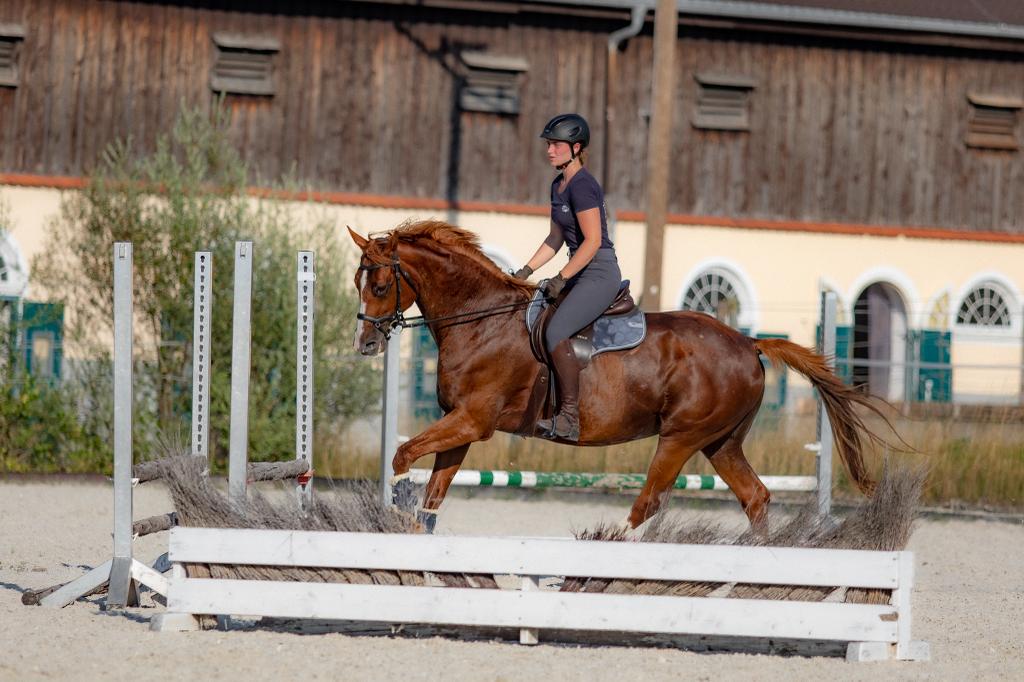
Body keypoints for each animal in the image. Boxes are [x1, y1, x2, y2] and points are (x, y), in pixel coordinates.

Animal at [350, 220, 897, 528]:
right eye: (358, 281)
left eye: (378, 284)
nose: (366, 344)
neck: (479, 319)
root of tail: (748, 343)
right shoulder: (460, 425)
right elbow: (431, 498)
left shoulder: (473, 421)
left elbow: (402, 456)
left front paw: (397, 498)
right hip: (721, 443)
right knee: (756, 499)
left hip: (680, 437)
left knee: (648, 504)